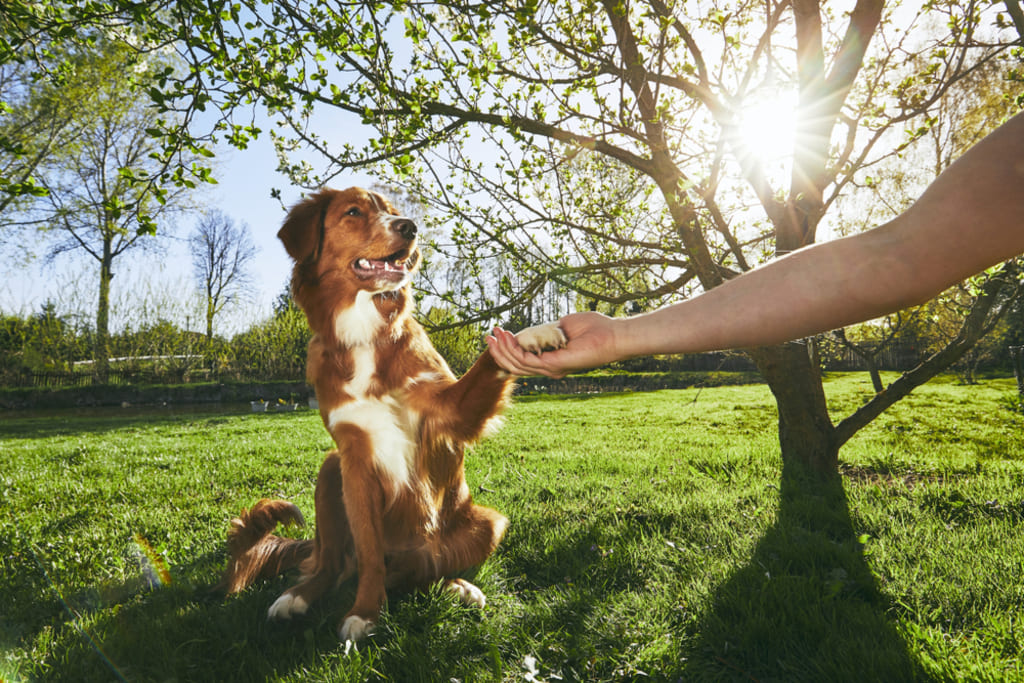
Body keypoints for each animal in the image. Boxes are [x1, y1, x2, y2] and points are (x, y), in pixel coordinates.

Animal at [219, 185, 565, 643]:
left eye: (393, 211)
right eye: (353, 212)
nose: (411, 227)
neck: (365, 333)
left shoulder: (449, 412)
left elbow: (490, 357)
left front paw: (532, 335)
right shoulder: (354, 458)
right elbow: (369, 553)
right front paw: (366, 612)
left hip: (488, 524)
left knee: (426, 570)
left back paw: (458, 586)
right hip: (330, 471)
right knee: (331, 564)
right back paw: (297, 597)